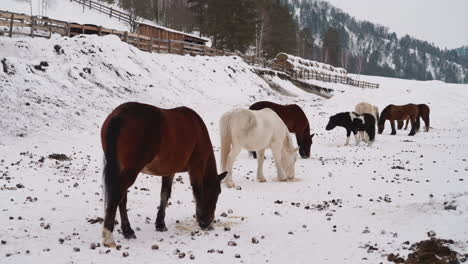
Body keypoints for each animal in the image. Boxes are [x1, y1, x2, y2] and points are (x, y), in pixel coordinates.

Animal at [100, 101, 227, 248]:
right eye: (217, 192)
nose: (209, 220)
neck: (199, 132)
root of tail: (119, 116)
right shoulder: (196, 168)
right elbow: (197, 192)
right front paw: (202, 221)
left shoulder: (169, 171)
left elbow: (165, 195)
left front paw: (160, 224)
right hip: (130, 171)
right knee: (117, 195)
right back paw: (109, 237)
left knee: (122, 197)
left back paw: (128, 231)